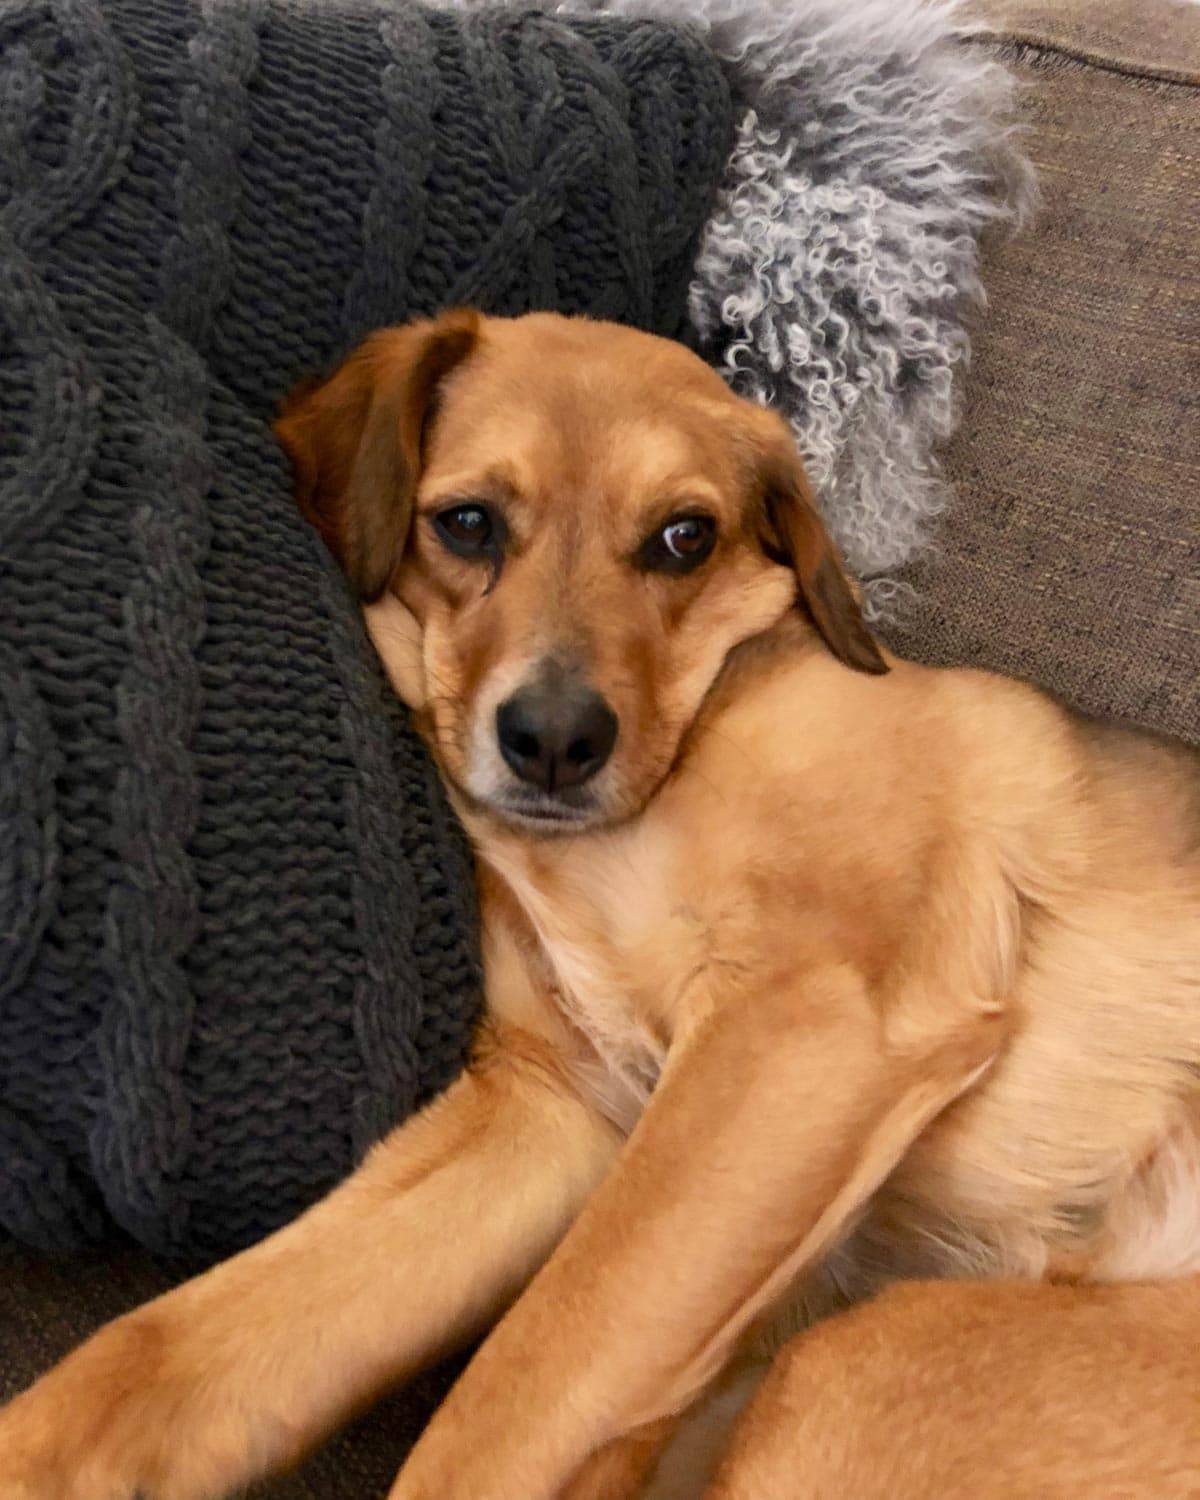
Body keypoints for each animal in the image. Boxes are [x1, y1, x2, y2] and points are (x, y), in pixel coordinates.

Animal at [2, 307, 1200, 1500]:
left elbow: (502, 1402)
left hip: (855, 1361)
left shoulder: (804, 1027)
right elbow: (156, 1355)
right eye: (468, 524)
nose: (556, 741)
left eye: (685, 538)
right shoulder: (557, 1107)